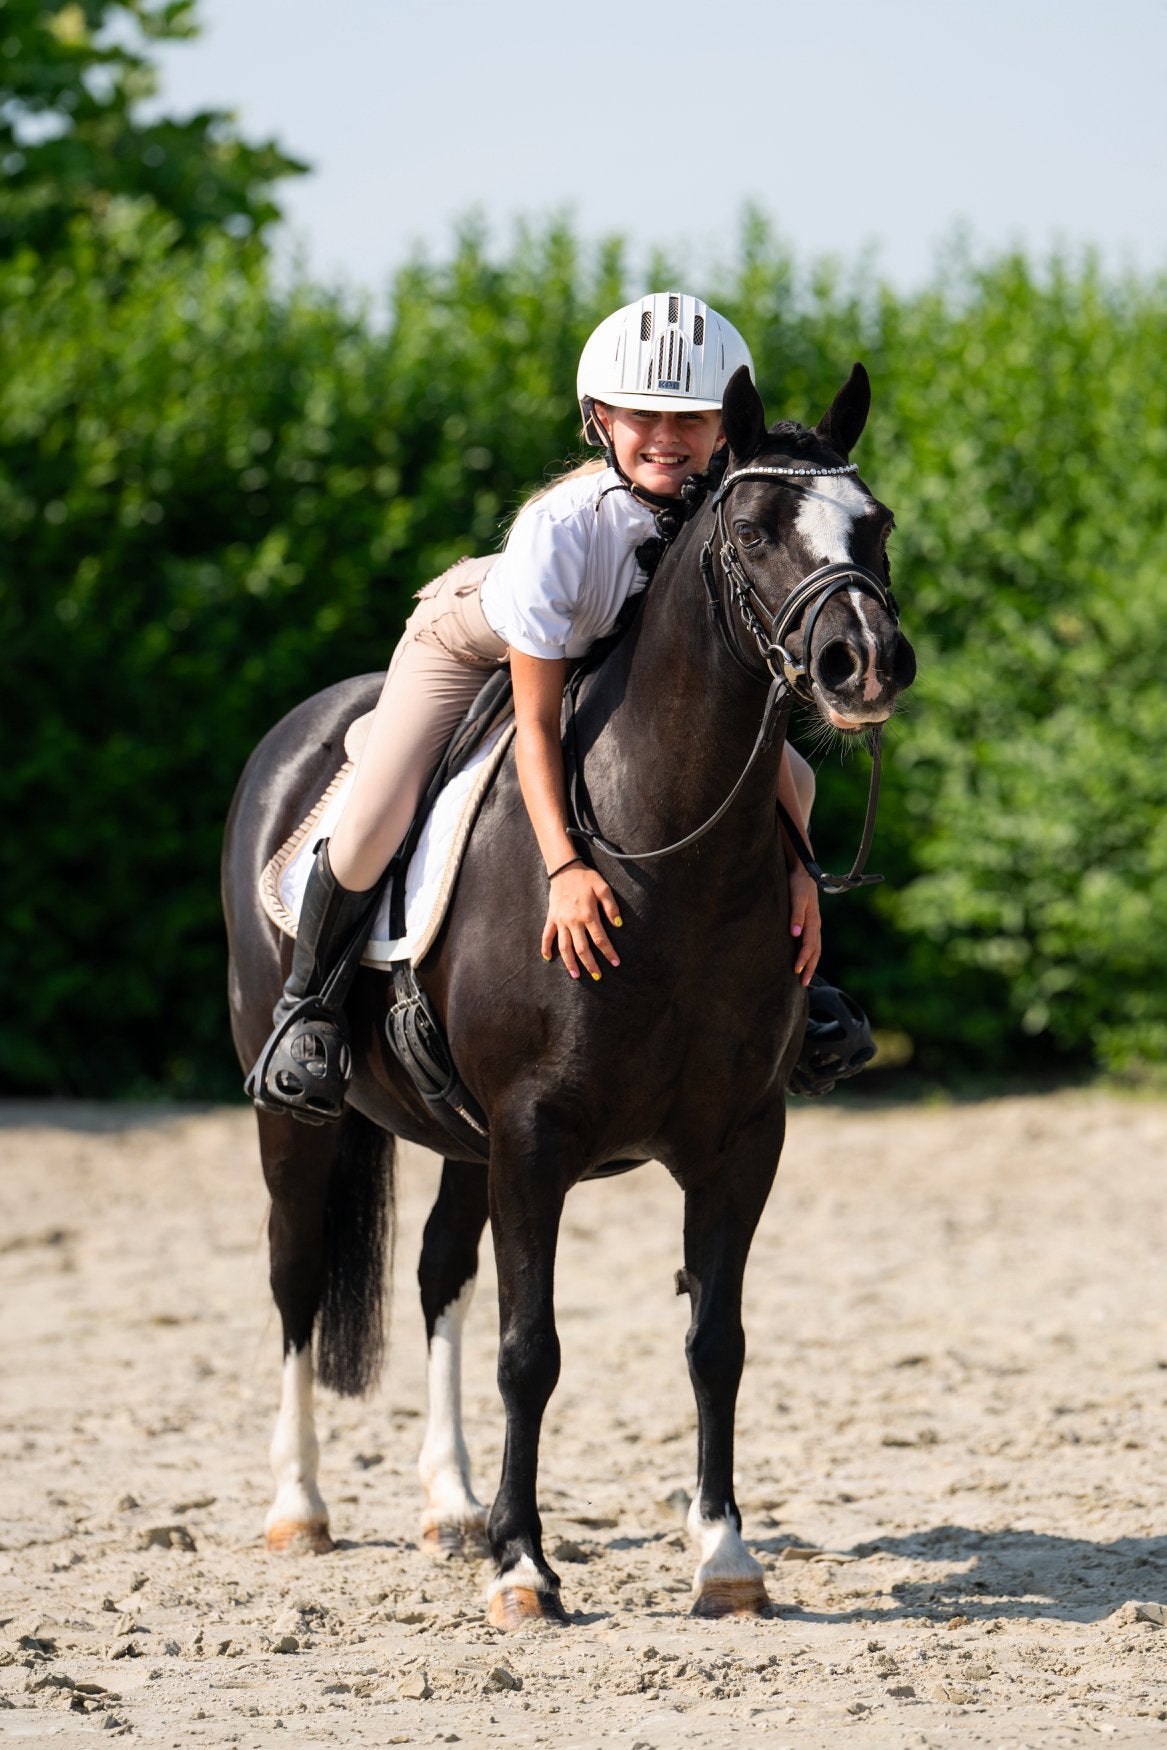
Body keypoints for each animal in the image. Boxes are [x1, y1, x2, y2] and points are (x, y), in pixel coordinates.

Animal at [222, 363, 916, 1627]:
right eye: (754, 528)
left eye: (874, 524)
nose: (868, 664)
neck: (668, 856)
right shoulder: (538, 1136)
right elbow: (531, 1349)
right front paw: (525, 1568)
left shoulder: (742, 1138)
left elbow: (715, 1339)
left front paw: (724, 1556)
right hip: (298, 1116)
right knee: (295, 1275)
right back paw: (300, 1509)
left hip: (462, 1137)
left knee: (437, 1272)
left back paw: (450, 1505)